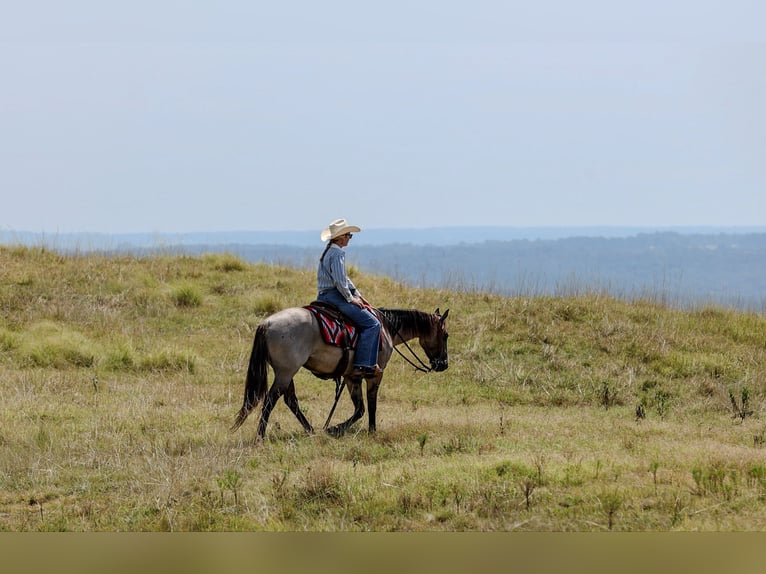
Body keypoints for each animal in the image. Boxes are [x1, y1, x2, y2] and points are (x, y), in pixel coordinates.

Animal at [232, 306, 449, 439]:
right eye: (446, 335)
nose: (443, 365)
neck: (387, 329)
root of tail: (266, 324)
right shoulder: (375, 374)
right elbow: (371, 404)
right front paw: (370, 430)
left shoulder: (352, 377)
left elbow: (360, 408)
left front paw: (333, 429)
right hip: (286, 372)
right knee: (271, 400)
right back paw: (260, 436)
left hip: (285, 372)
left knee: (290, 400)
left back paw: (311, 430)